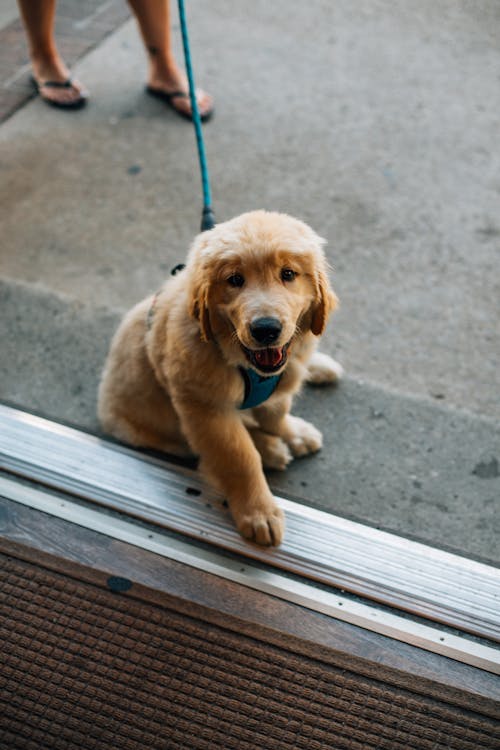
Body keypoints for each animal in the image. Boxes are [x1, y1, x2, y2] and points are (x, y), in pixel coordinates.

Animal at [96, 212, 344, 548]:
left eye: (288, 274)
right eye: (235, 280)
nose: (266, 329)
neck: (239, 359)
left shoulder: (277, 382)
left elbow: (276, 414)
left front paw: (294, 432)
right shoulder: (204, 408)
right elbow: (238, 456)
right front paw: (259, 512)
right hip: (160, 430)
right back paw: (270, 449)